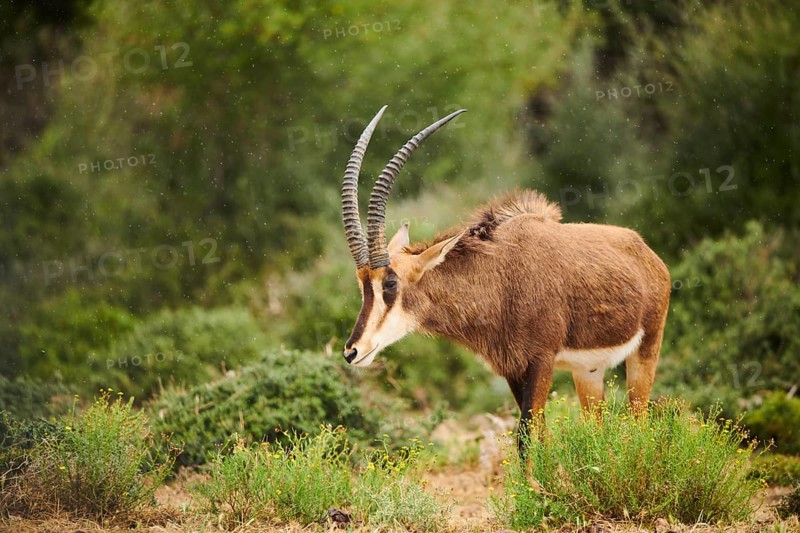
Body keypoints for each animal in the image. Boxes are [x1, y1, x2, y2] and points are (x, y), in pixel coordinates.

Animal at [339, 106, 671, 449]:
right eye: (362, 284)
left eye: (390, 282)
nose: (352, 352)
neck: (500, 278)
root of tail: (646, 252)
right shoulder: (512, 369)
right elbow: (539, 437)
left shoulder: (541, 361)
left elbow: (526, 437)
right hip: (588, 371)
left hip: (646, 351)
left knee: (640, 422)